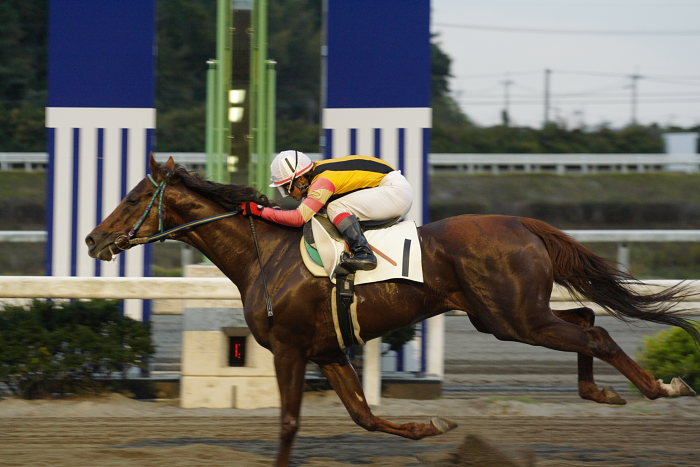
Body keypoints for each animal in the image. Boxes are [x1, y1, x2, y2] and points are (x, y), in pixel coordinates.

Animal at [85, 156, 696, 467]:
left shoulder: (288, 348)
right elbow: (364, 415)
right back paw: (604, 392)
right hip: (508, 316)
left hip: (512, 319)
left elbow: (288, 422)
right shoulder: (326, 349)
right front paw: (432, 424)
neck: (266, 256)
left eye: (134, 198)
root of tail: (523, 223)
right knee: (588, 322)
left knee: (595, 337)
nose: (93, 240)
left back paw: (660, 387)